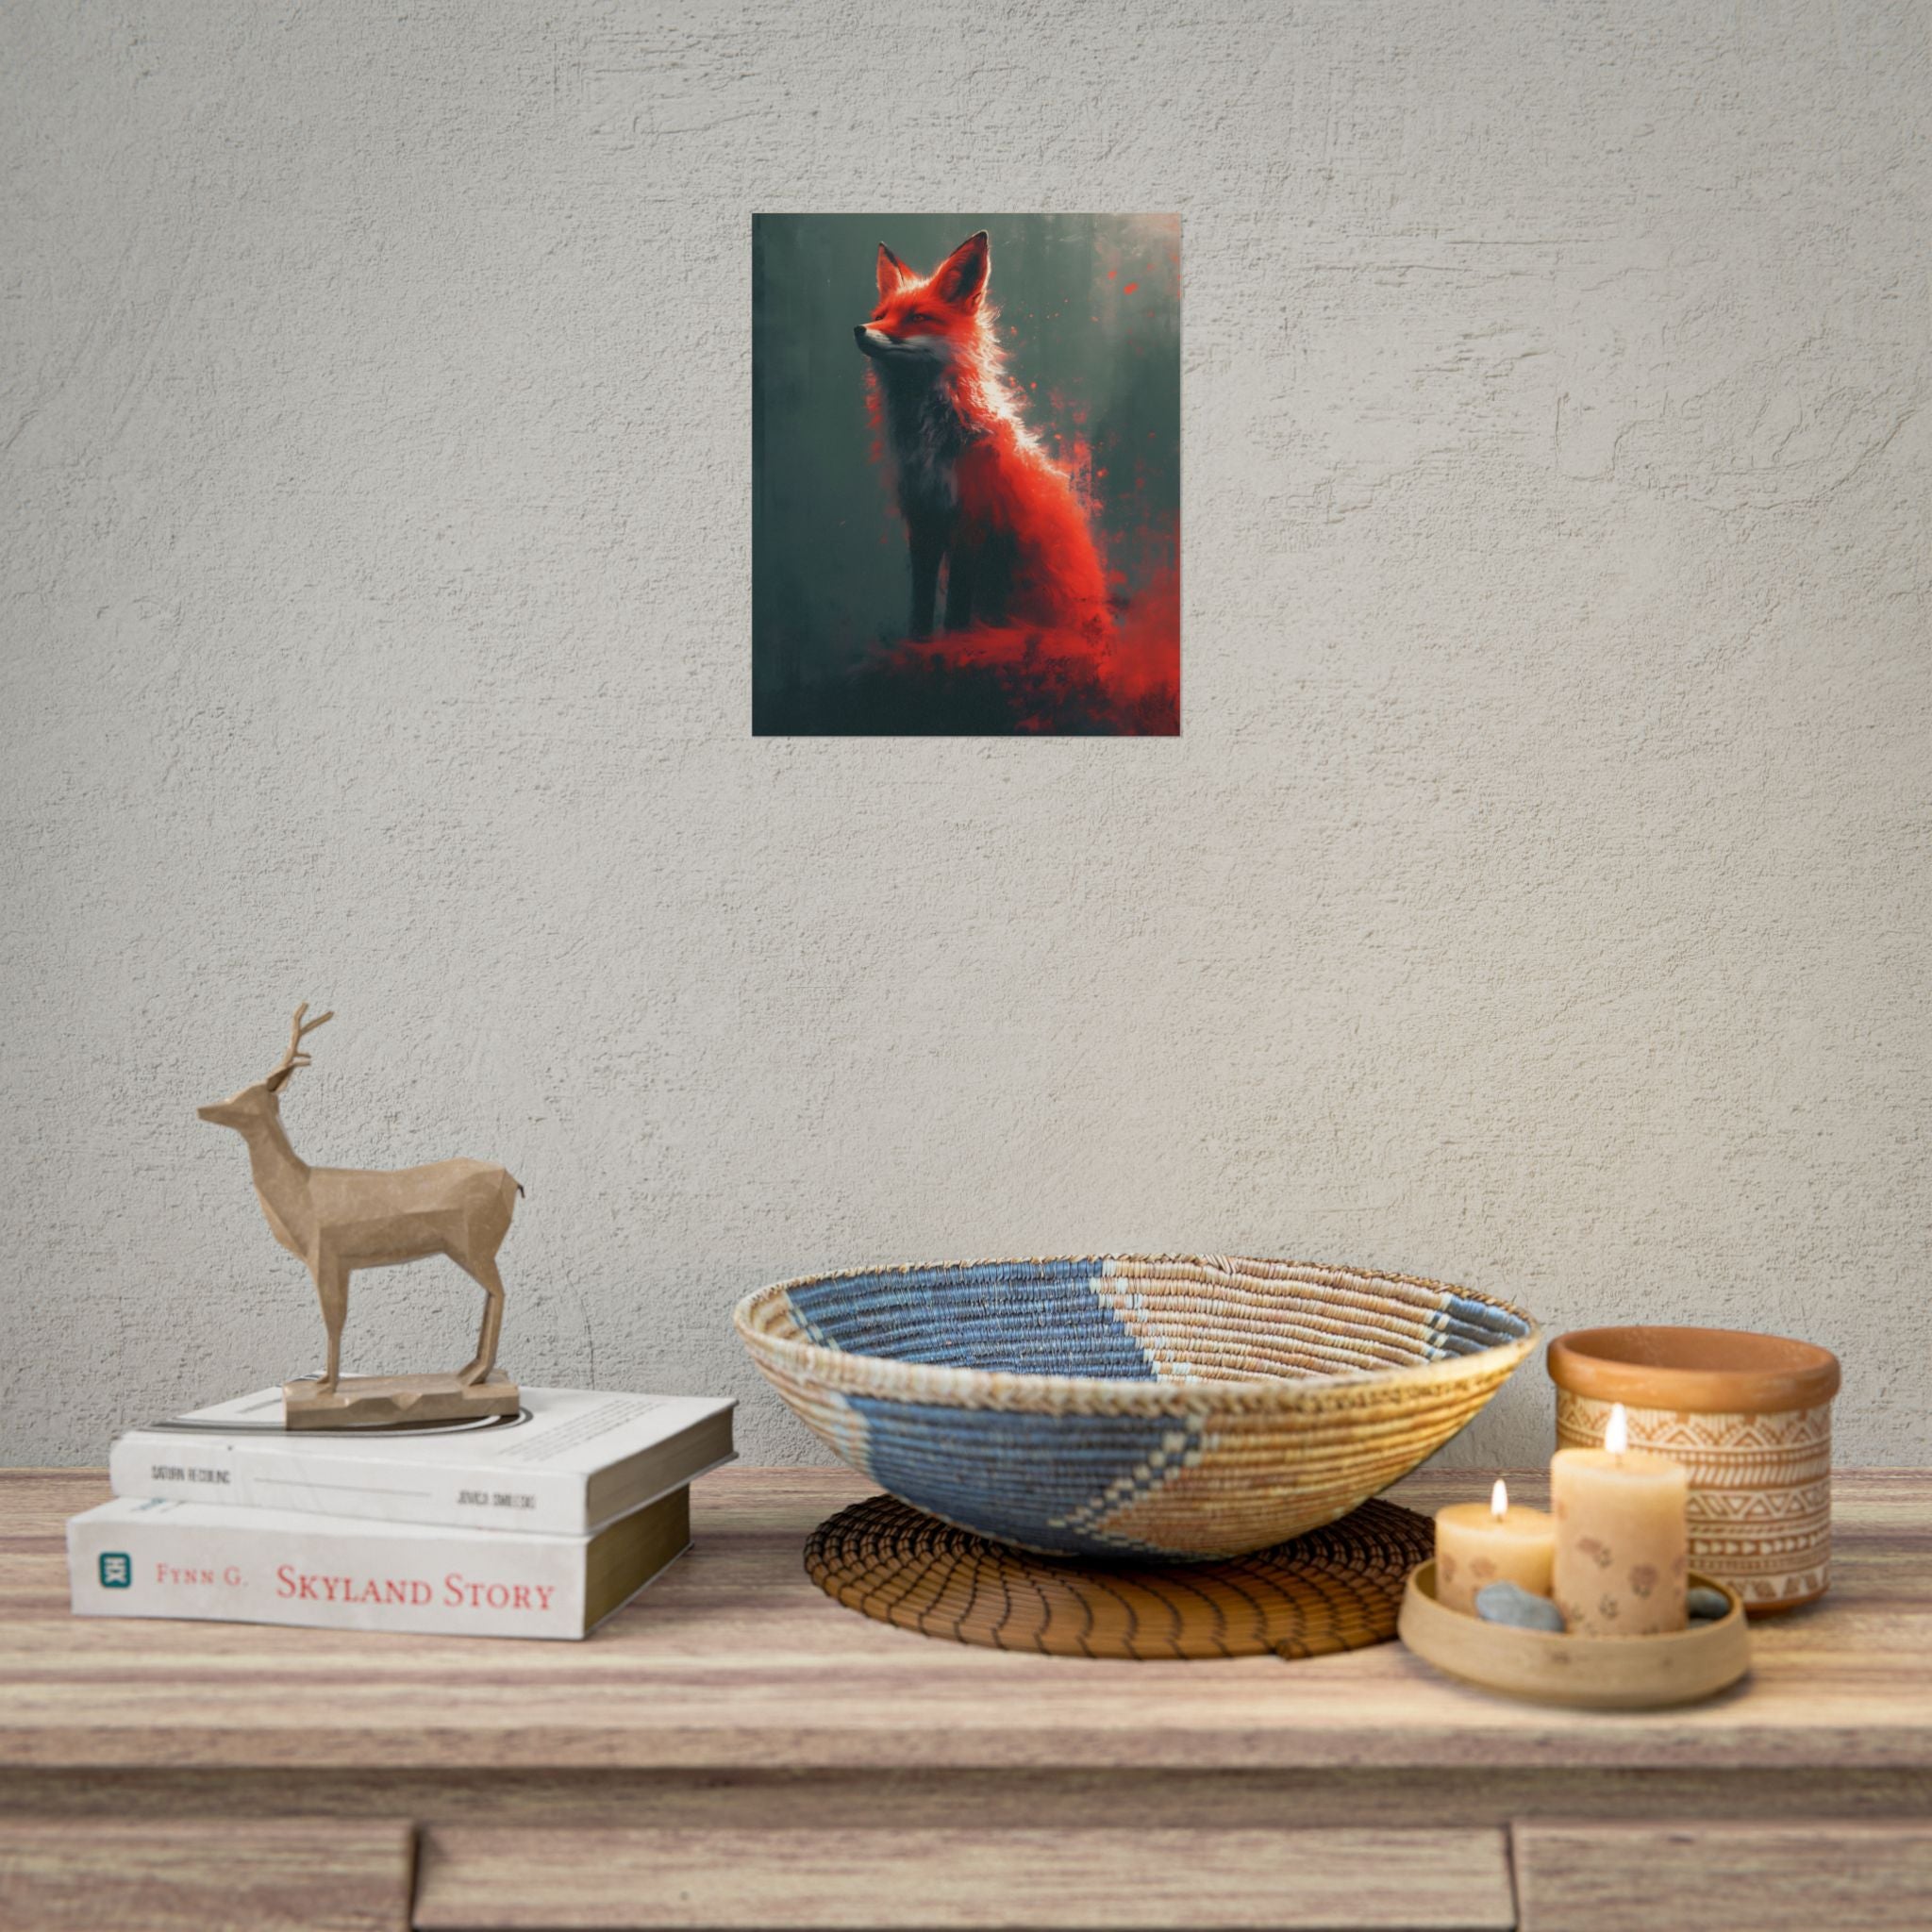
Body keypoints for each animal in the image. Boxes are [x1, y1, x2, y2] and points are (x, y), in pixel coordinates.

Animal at [855, 230, 1109, 643]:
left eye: (917, 317)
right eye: (880, 316)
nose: (860, 330)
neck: (932, 440)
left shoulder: (972, 518)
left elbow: (957, 604)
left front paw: (953, 643)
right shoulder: (922, 517)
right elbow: (921, 601)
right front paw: (918, 643)